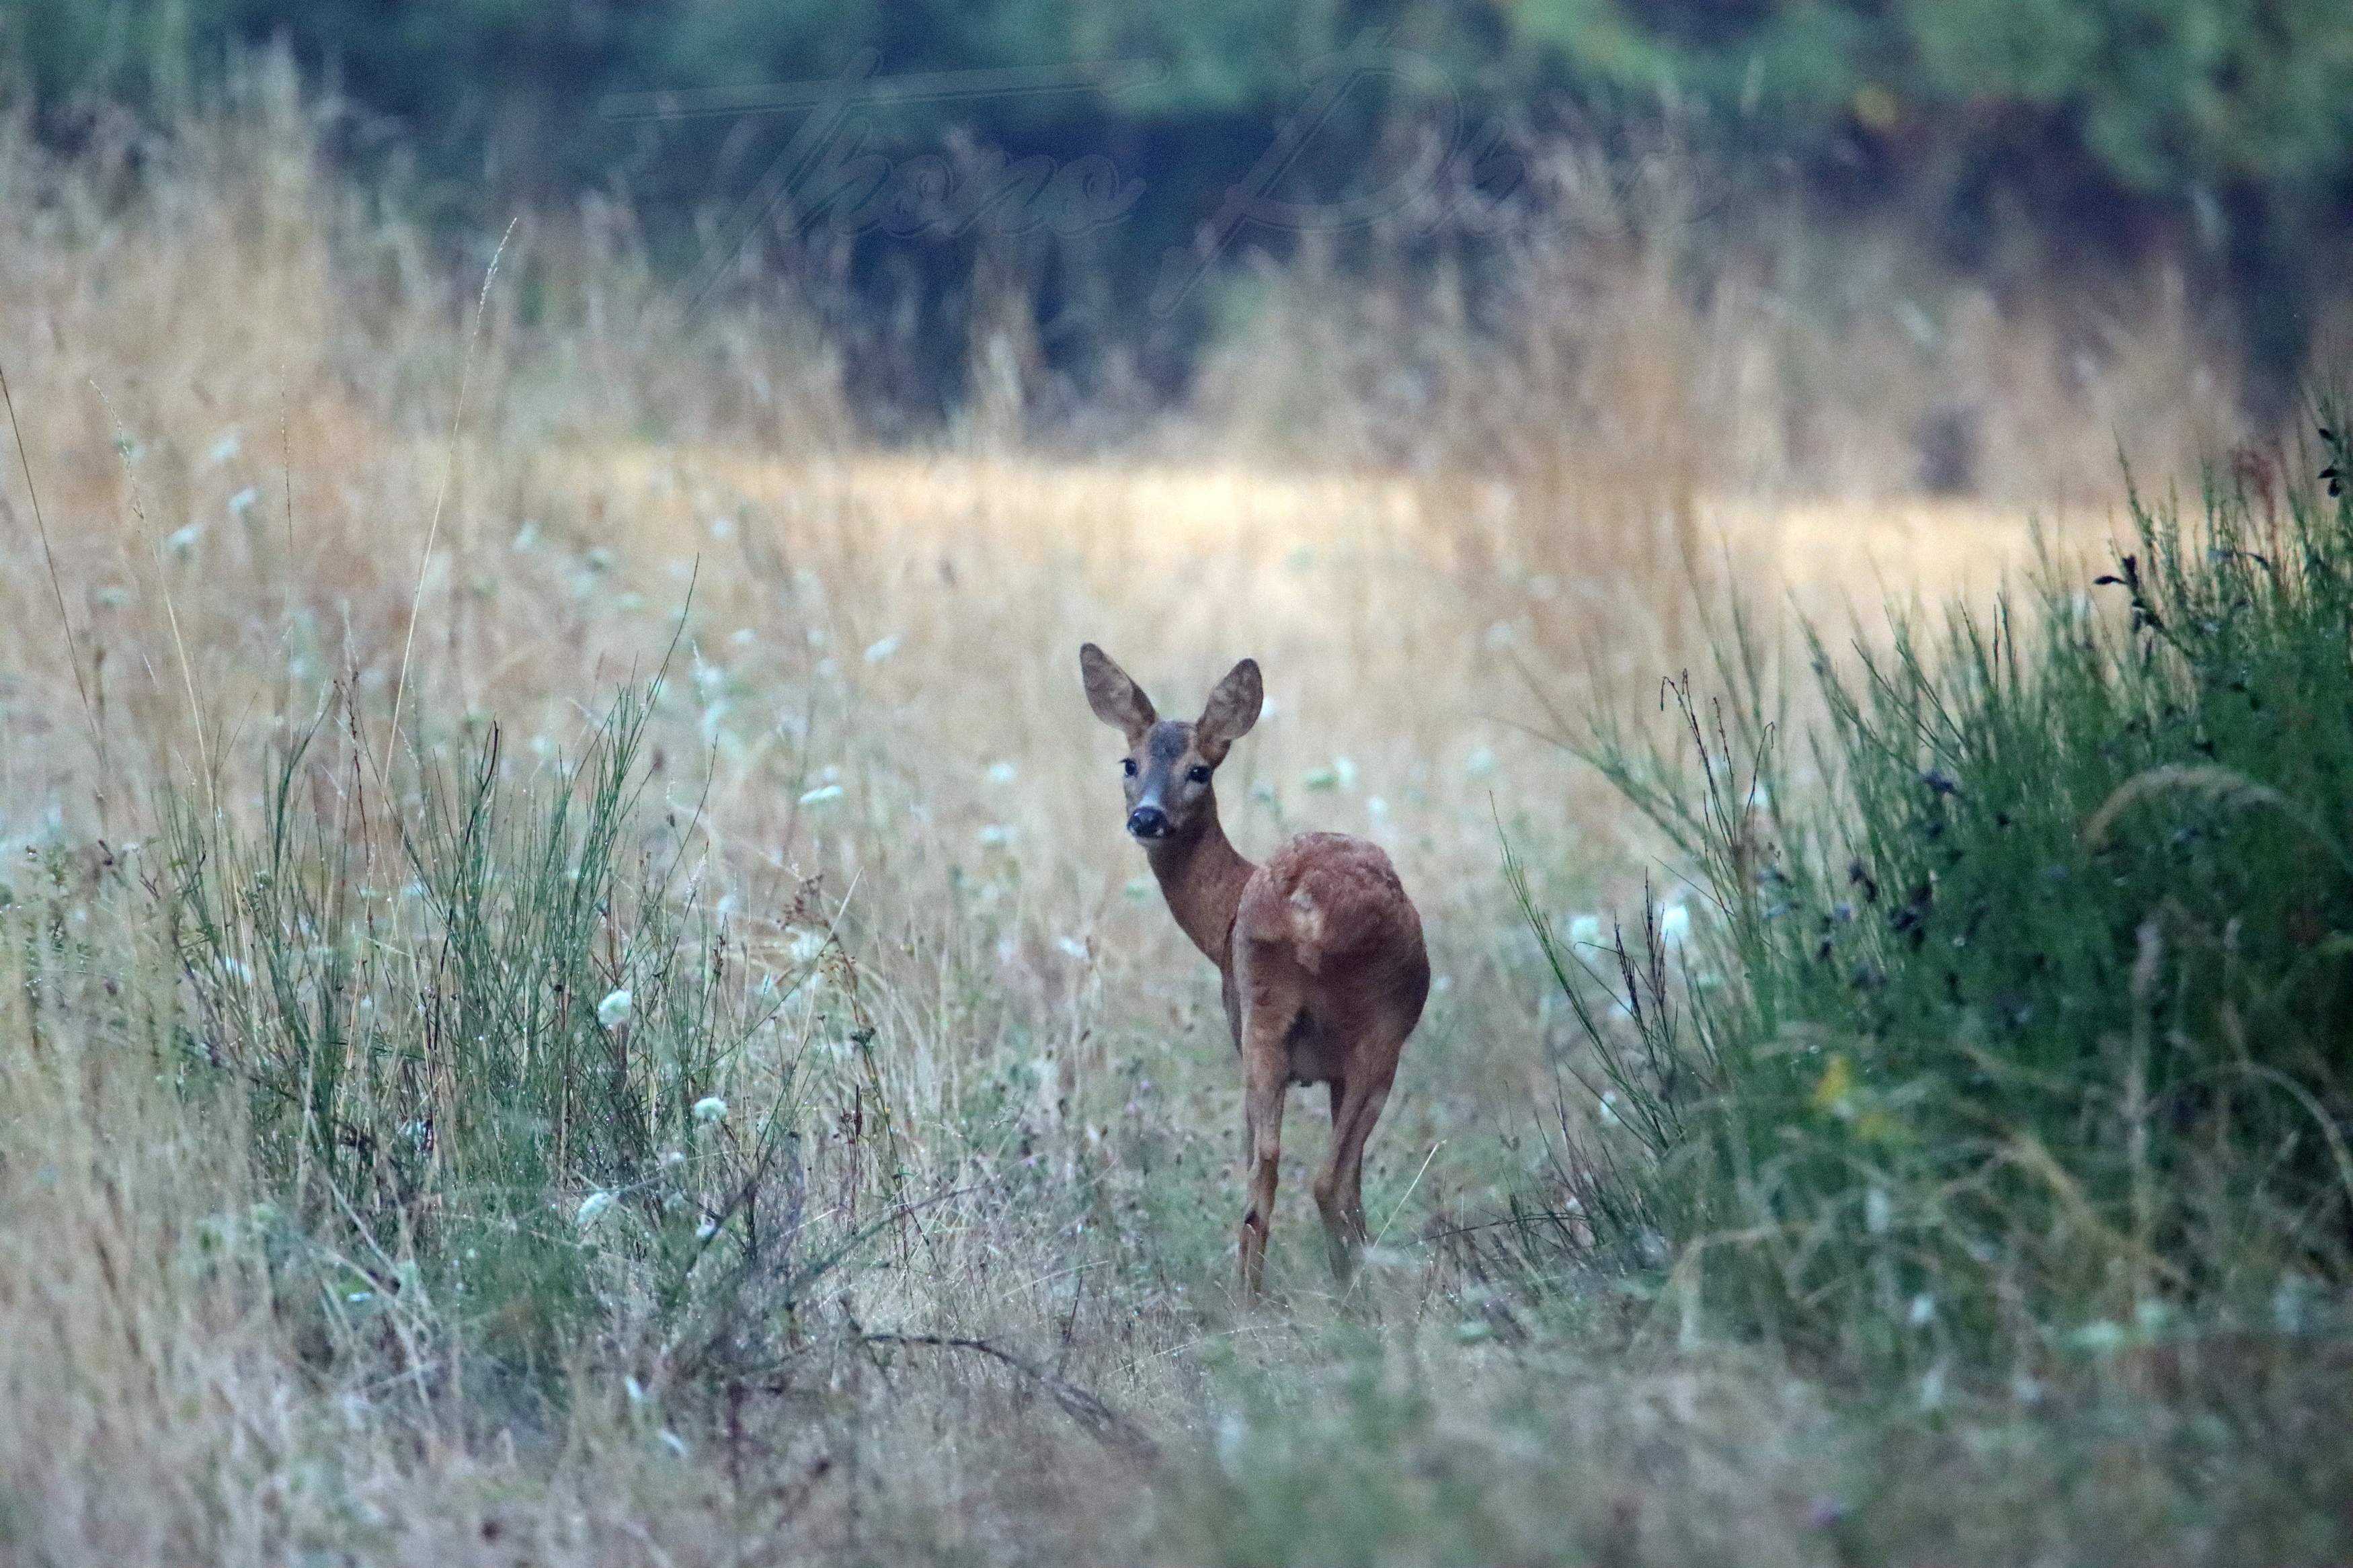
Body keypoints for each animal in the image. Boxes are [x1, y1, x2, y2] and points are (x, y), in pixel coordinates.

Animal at [1082, 644, 1431, 1297]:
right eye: (1129, 762)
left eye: (1199, 770)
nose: (1146, 818)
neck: (1223, 914)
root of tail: (1309, 906)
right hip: (1363, 1026)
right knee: (1318, 1174)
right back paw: (1342, 1292)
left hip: (1273, 1019)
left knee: (1274, 1165)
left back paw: (1266, 1295)